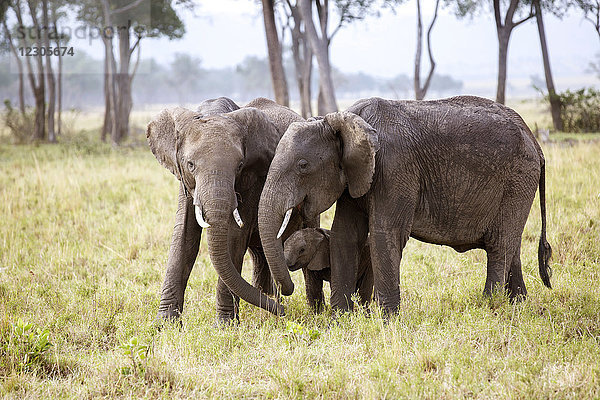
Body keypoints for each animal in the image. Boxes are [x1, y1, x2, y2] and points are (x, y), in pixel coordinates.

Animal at [146, 97, 304, 324]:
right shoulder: (185, 182)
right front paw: (164, 324)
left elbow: (234, 239)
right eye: (190, 164)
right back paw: (267, 299)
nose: (282, 312)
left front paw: (225, 325)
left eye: (239, 165)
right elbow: (184, 236)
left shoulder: (252, 180)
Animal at [258, 97, 552, 316]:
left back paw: (490, 306)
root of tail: (536, 144)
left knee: (500, 244)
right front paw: (340, 319)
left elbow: (384, 233)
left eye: (303, 165)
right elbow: (345, 234)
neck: (341, 119)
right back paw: (517, 305)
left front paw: (386, 320)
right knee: (510, 244)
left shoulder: (394, 168)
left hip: (518, 179)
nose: (285, 294)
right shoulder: (357, 174)